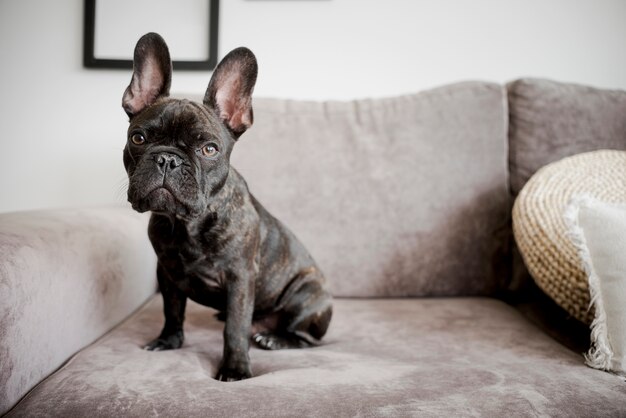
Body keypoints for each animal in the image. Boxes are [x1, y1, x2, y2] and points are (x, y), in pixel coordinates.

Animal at [118, 33, 332, 382]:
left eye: (209, 149)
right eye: (138, 138)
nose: (168, 159)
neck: (186, 223)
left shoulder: (239, 280)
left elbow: (235, 327)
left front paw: (235, 368)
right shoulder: (167, 273)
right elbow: (171, 310)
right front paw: (168, 341)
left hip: (306, 295)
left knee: (306, 337)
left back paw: (275, 338)